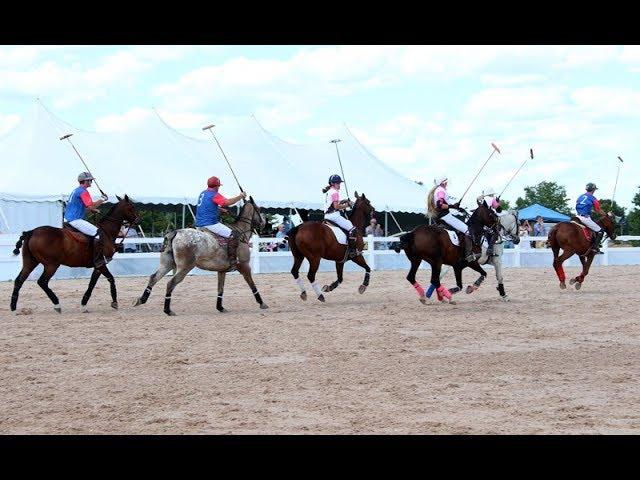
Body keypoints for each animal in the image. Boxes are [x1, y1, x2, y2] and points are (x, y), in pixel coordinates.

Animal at [10, 195, 141, 316]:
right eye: (131, 207)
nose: (138, 221)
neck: (106, 233)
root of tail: (31, 232)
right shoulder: (101, 264)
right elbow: (109, 279)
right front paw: (113, 302)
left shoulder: (97, 266)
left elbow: (95, 283)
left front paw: (85, 304)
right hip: (51, 265)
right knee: (42, 282)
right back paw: (57, 304)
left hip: (30, 262)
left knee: (19, 280)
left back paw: (13, 307)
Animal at [134, 196, 266, 316]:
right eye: (258, 209)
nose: (264, 223)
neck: (241, 231)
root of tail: (175, 233)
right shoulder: (244, 266)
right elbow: (252, 285)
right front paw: (262, 303)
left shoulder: (222, 270)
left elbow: (220, 288)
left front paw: (220, 307)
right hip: (185, 267)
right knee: (171, 283)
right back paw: (167, 310)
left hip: (167, 264)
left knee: (153, 277)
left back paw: (141, 300)